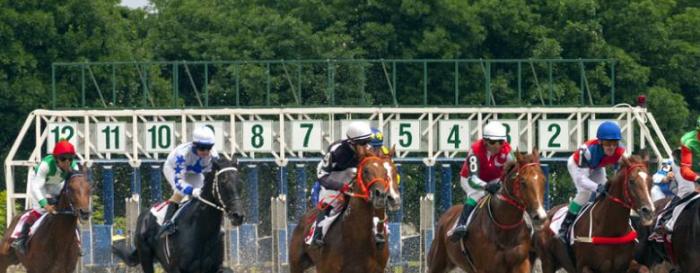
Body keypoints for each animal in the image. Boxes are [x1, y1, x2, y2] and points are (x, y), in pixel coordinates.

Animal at [113, 157, 246, 272]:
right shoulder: (177, 268)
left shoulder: (214, 267)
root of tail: (144, 215)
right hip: (146, 256)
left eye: (240, 182)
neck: (201, 229)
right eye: (223, 182)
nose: (238, 215)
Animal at [288, 144, 400, 272]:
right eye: (365, 170)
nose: (382, 195)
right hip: (296, 265)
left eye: (389, 172)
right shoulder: (326, 268)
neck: (356, 239)